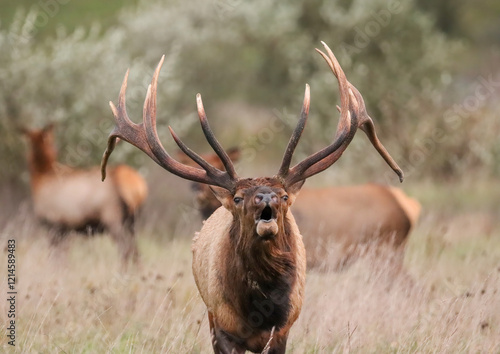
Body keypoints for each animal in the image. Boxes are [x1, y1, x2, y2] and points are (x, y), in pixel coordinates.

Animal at [21, 124, 146, 266]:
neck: (40, 178)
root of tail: (139, 187)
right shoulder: (65, 229)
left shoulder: (54, 224)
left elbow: (56, 259)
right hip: (132, 222)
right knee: (136, 253)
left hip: (114, 220)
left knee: (126, 251)